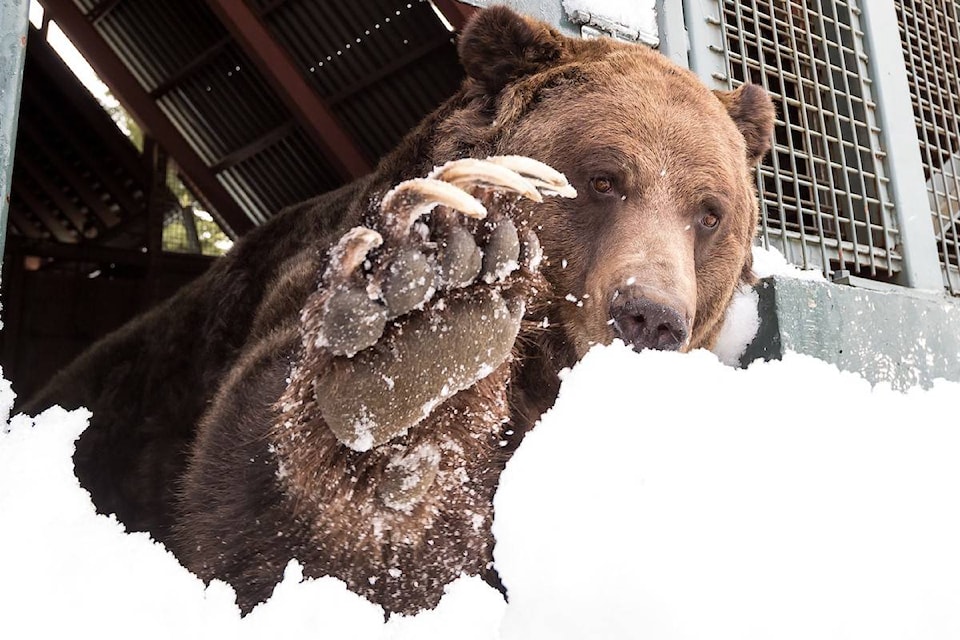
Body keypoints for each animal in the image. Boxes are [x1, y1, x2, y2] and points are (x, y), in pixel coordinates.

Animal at [20, 5, 772, 616]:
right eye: (605, 178)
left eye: (710, 213)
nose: (649, 316)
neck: (535, 372)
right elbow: (271, 518)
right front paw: (422, 328)